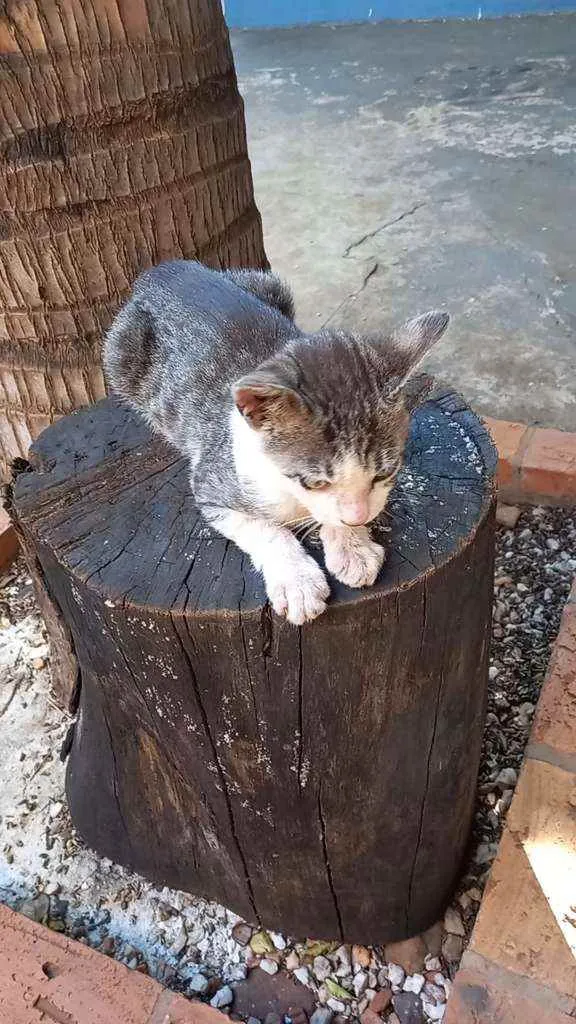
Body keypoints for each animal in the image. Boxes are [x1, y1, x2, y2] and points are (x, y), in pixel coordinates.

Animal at [103, 258, 446, 622]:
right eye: (314, 482)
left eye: (384, 473)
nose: (358, 518)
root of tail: (165, 270)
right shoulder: (211, 481)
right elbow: (265, 528)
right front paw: (298, 582)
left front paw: (354, 547)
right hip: (119, 355)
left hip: (268, 283)